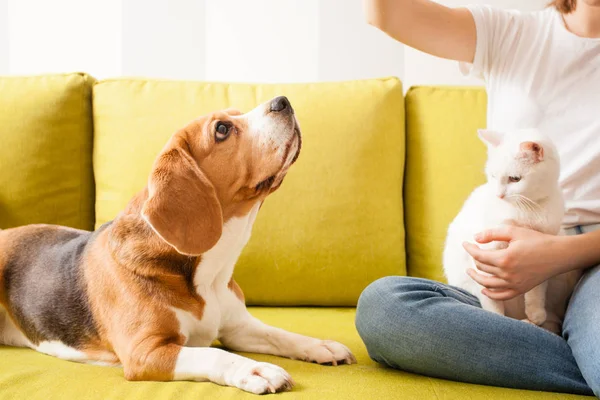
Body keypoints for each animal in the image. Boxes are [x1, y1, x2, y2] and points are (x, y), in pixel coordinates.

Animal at [0, 96, 356, 394]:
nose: (283, 101)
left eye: (236, 113)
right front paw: (255, 369)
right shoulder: (146, 352)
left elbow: (278, 333)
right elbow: (213, 355)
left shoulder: (238, 327)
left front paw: (319, 345)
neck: (208, 274)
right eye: (222, 129)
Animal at [446, 128, 580, 334]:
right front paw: (497, 320)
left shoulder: (540, 254)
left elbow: (536, 288)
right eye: (493, 176)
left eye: (514, 179)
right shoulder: (485, 254)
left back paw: (533, 322)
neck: (527, 209)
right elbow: (490, 295)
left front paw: (535, 312)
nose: (498, 195)